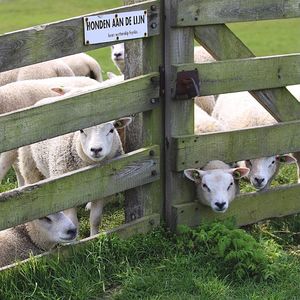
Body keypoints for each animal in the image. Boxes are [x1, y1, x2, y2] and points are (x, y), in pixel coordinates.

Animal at [18, 108, 131, 237]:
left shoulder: (101, 192)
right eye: (81, 130)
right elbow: (73, 222)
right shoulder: (66, 194)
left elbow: (95, 219)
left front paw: (94, 237)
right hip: (29, 165)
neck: (88, 170)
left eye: (111, 130)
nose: (96, 149)